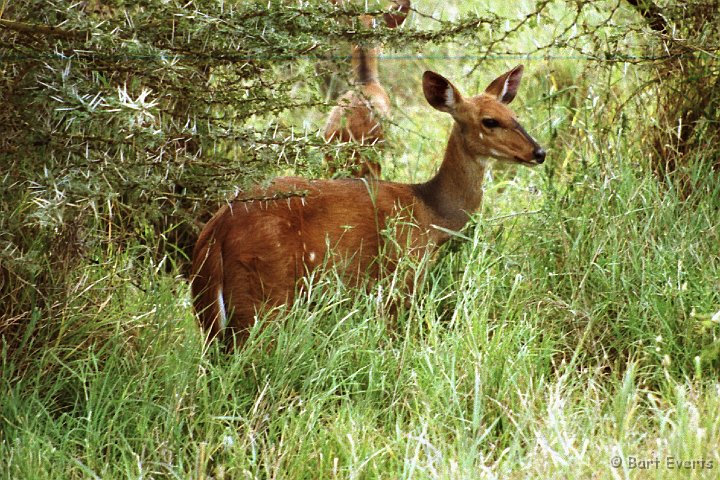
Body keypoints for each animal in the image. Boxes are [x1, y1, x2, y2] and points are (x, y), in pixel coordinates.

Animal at [191, 67, 544, 344]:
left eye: (515, 117)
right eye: (490, 121)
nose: (538, 152)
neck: (430, 212)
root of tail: (216, 233)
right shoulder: (401, 276)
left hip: (212, 314)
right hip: (265, 296)